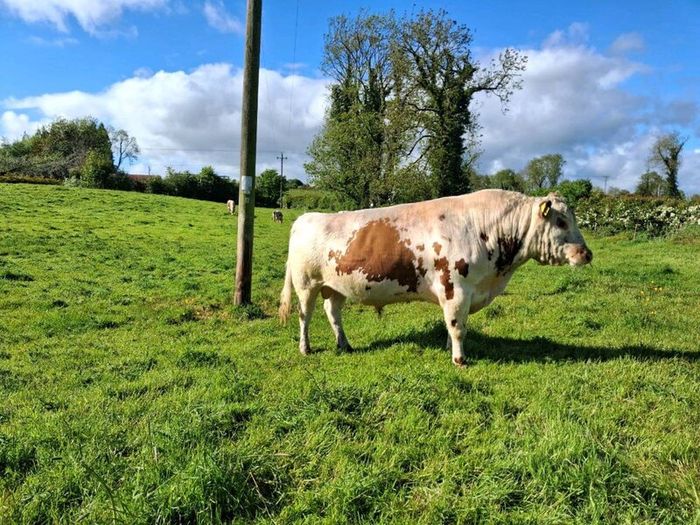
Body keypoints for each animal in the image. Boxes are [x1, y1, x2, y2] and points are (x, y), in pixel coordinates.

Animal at [279, 190, 592, 366]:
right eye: (561, 222)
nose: (587, 254)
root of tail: (306, 217)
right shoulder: (456, 289)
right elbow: (457, 327)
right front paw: (459, 359)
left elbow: (452, 326)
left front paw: (448, 349)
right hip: (306, 283)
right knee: (305, 316)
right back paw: (305, 349)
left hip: (336, 287)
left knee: (333, 313)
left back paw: (344, 345)